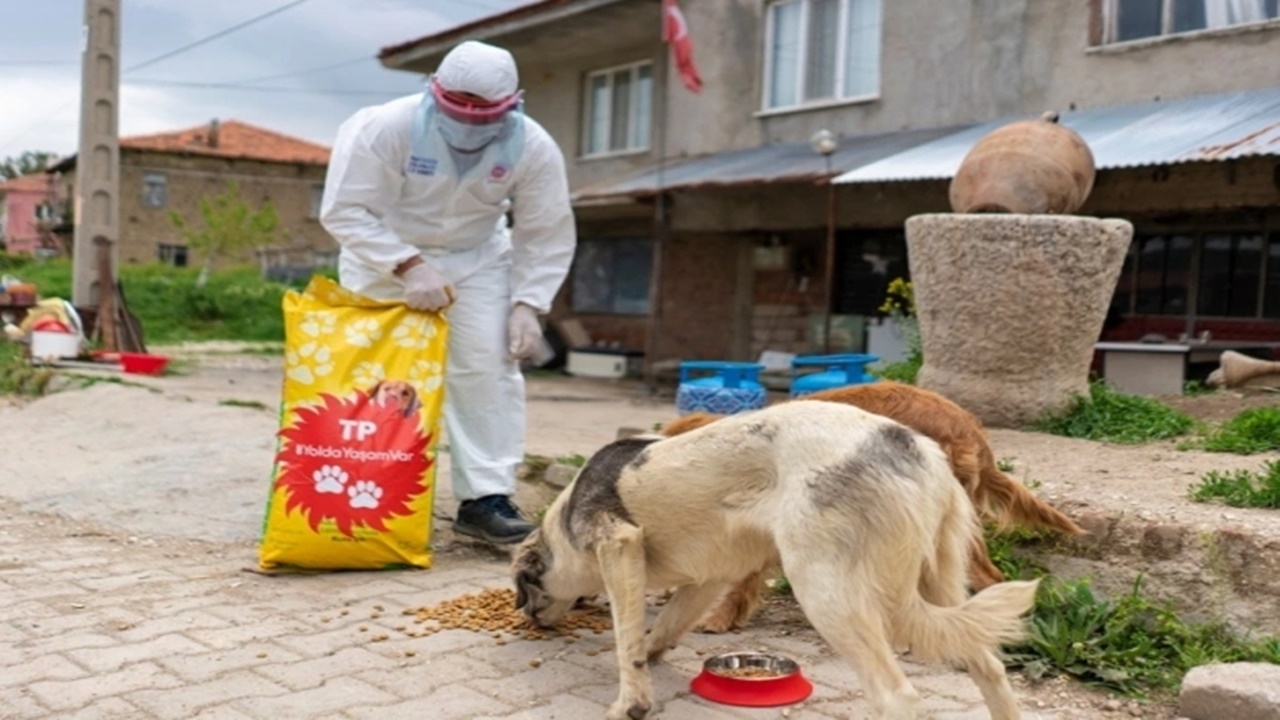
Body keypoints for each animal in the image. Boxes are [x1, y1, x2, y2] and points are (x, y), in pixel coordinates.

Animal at [512, 399, 1039, 712]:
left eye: (526, 588)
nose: (531, 622)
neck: (565, 518)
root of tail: (916, 449)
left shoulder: (620, 548)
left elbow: (626, 642)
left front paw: (631, 702)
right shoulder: (708, 579)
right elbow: (660, 629)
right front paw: (653, 653)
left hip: (825, 592)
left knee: (896, 696)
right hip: (946, 586)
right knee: (990, 667)